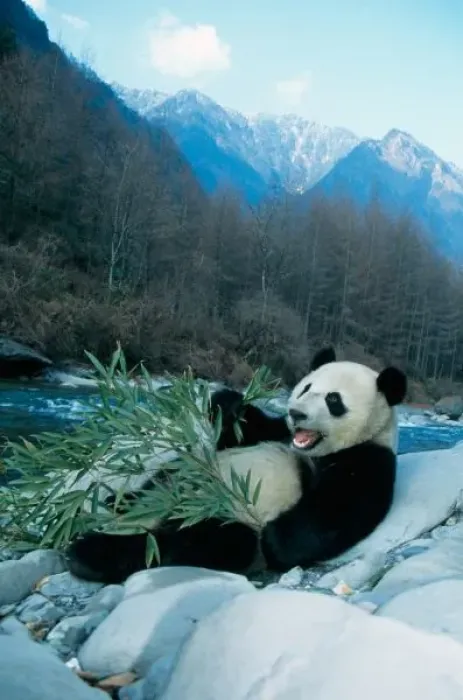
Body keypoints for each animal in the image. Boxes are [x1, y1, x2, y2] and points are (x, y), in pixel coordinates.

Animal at [66, 347, 407, 583]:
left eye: (334, 400)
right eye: (307, 388)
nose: (297, 413)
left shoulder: (369, 459)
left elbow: (334, 513)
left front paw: (275, 539)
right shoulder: (275, 432)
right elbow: (237, 432)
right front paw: (228, 403)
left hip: (216, 518)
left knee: (196, 543)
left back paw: (89, 552)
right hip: (175, 479)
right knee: (158, 486)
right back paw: (112, 506)